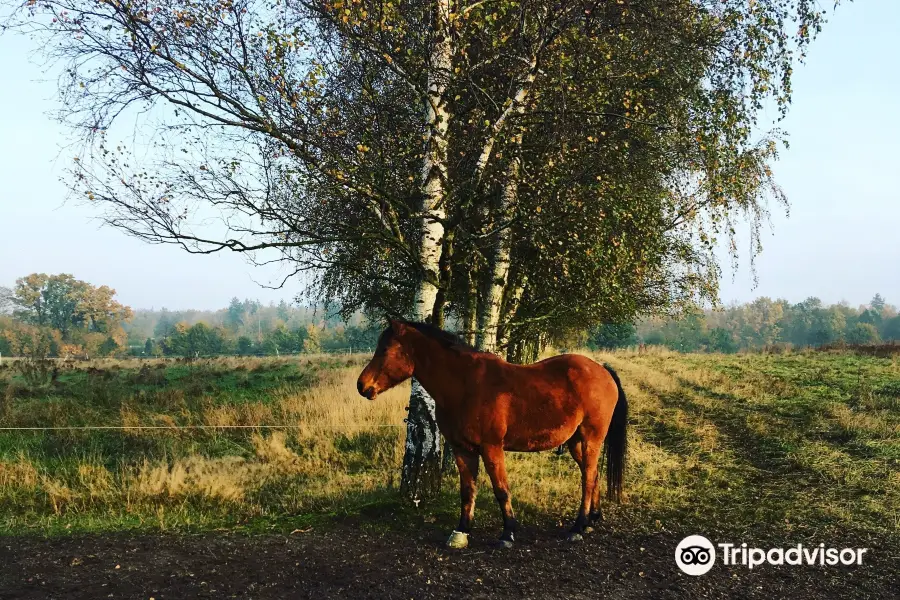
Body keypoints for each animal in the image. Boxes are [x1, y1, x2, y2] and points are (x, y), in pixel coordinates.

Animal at [356, 318, 628, 548]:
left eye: (385, 350)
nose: (362, 385)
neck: (464, 385)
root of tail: (603, 370)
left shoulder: (491, 448)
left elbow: (501, 489)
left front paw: (508, 533)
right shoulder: (462, 449)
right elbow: (467, 491)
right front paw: (461, 532)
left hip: (591, 438)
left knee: (588, 478)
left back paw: (578, 527)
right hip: (575, 442)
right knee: (592, 474)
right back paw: (592, 519)